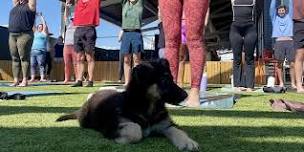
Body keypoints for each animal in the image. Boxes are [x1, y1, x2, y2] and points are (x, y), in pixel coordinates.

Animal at [56, 58, 200, 151]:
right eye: (165, 80)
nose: (186, 96)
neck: (149, 107)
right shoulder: (113, 125)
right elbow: (135, 130)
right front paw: (121, 139)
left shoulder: (165, 125)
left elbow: (178, 130)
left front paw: (188, 142)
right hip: (86, 121)